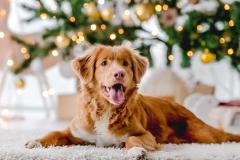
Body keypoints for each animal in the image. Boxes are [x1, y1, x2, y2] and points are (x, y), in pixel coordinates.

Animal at [25, 45, 240, 151]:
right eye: (104, 63)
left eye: (125, 64)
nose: (119, 73)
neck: (105, 109)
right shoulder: (74, 133)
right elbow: (53, 132)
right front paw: (35, 142)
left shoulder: (146, 135)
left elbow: (132, 139)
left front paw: (137, 152)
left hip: (205, 135)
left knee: (223, 136)